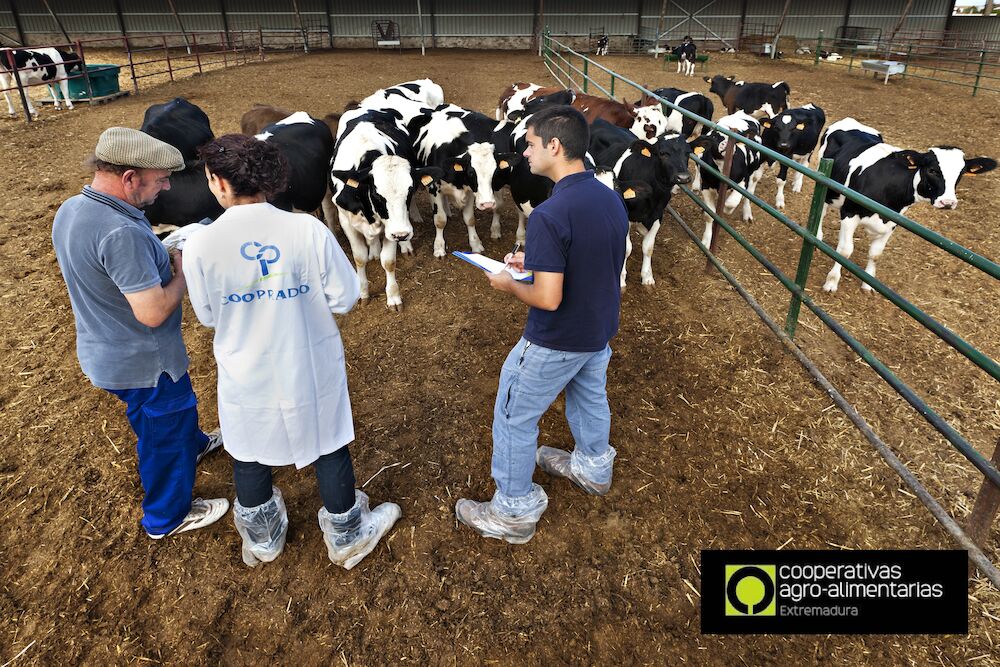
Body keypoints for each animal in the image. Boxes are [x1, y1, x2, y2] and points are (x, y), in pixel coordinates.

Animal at [332, 107, 442, 310]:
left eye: (410, 190)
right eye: (377, 194)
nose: (402, 234)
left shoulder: (390, 228)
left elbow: (389, 262)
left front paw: (393, 297)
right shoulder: (346, 221)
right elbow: (359, 258)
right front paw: (363, 293)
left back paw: (404, 246)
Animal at [588, 120, 692, 288]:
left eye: (688, 153)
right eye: (662, 153)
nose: (683, 177)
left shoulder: (658, 215)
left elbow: (648, 247)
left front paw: (647, 276)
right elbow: (626, 248)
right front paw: (621, 279)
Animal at [692, 112, 768, 248]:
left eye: (734, 139)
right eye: (714, 137)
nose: (726, 143)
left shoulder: (743, 181)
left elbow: (731, 202)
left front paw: (727, 209)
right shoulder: (706, 186)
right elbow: (709, 215)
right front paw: (706, 240)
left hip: (754, 173)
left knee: (749, 194)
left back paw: (747, 213)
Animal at [816, 118, 996, 294]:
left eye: (961, 173)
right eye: (932, 170)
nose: (948, 202)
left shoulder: (892, 222)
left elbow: (875, 254)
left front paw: (868, 283)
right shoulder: (849, 212)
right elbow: (845, 251)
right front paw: (832, 282)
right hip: (825, 181)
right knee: (822, 210)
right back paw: (818, 235)